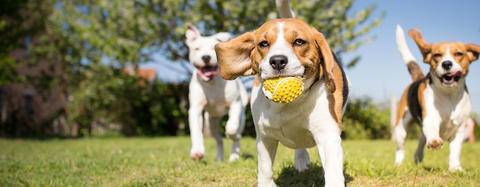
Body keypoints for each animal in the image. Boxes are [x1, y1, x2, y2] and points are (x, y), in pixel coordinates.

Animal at [186, 25, 249, 162]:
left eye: (213, 48)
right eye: (196, 48)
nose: (206, 57)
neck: (212, 82)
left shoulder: (235, 104)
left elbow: (231, 127)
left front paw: (231, 133)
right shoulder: (195, 109)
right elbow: (196, 131)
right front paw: (197, 151)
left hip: (242, 117)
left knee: (237, 135)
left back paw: (234, 156)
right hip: (211, 122)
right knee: (219, 140)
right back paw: (220, 159)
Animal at [216, 18, 346, 186]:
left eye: (299, 41)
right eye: (263, 43)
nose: (277, 61)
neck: (288, 105)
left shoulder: (327, 135)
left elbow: (333, 170)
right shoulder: (265, 137)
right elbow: (264, 168)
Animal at [392, 25, 478, 171]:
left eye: (459, 54)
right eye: (437, 55)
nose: (446, 64)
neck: (449, 95)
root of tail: (418, 78)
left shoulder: (460, 128)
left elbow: (455, 150)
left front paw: (455, 168)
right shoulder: (431, 117)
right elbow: (432, 130)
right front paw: (434, 141)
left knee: (421, 141)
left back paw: (418, 157)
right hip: (400, 129)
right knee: (400, 148)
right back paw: (398, 164)